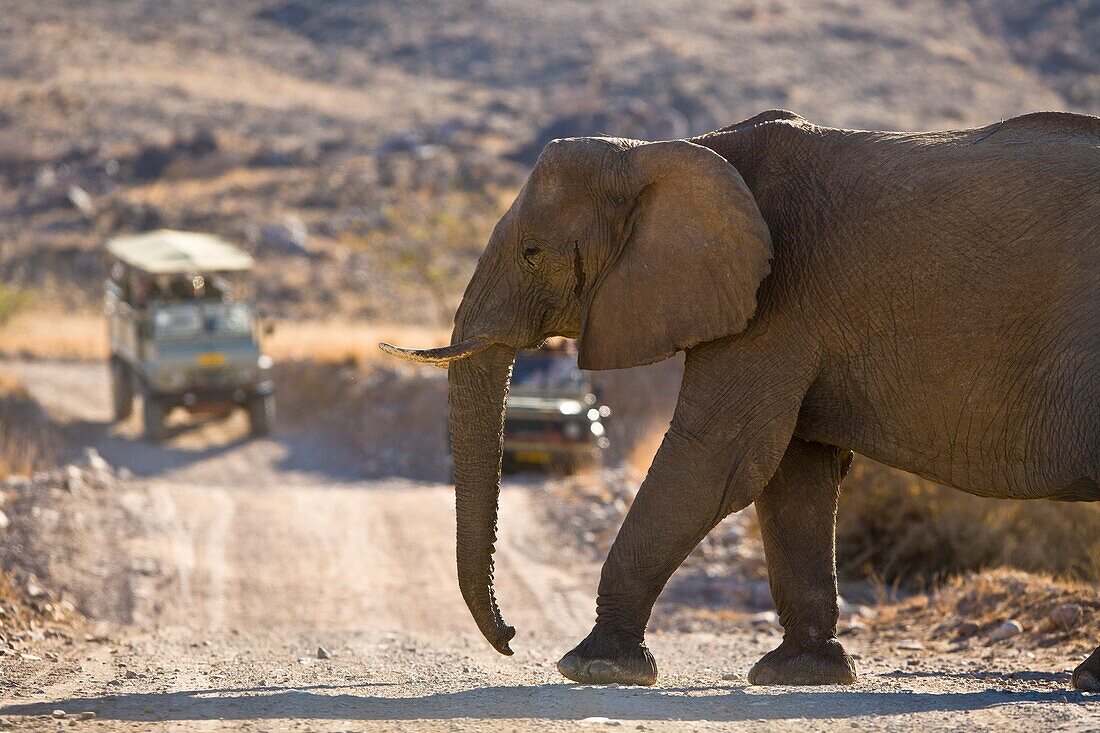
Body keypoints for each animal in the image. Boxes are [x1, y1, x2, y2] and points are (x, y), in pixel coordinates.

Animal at [380, 108, 1100, 686]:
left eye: (532, 251)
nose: (509, 638)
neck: (672, 151)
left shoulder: (778, 299)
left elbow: (716, 456)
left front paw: (594, 667)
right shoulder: (788, 310)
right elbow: (793, 473)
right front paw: (802, 675)